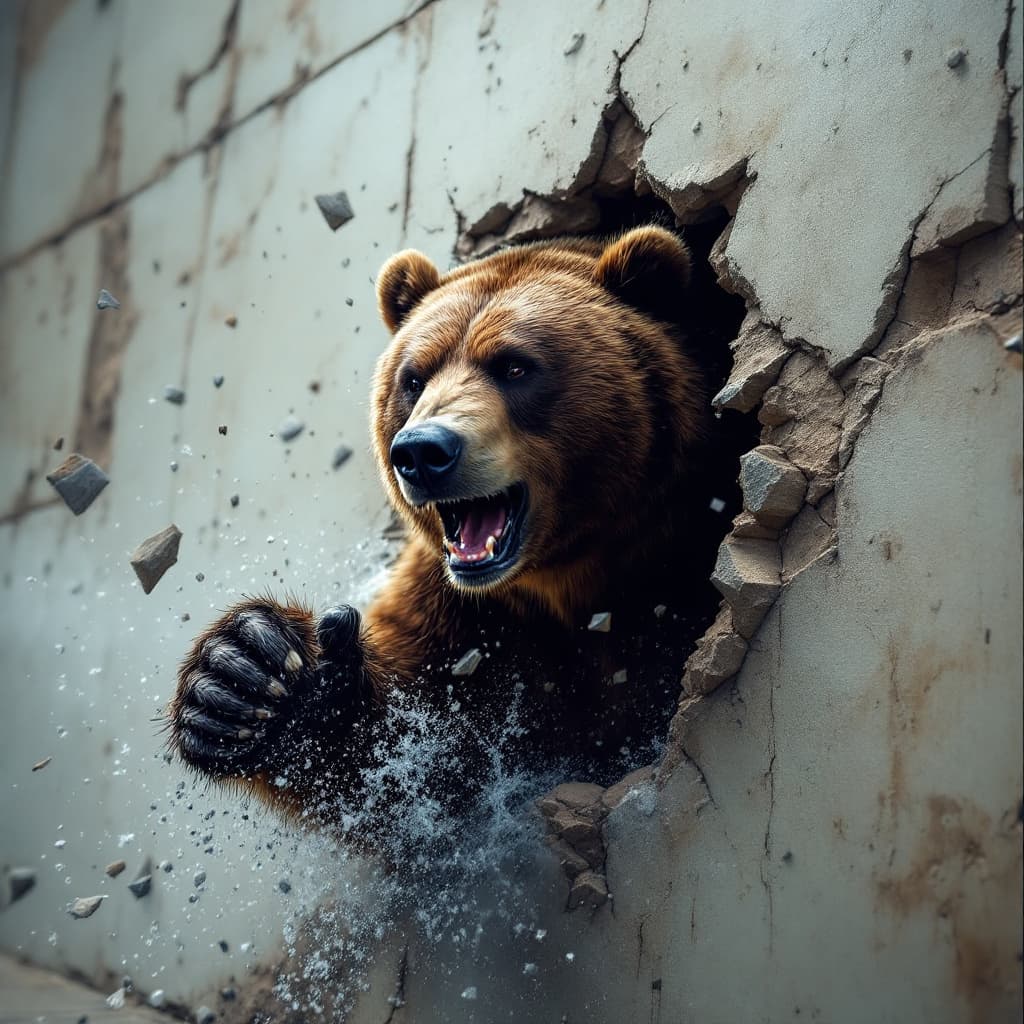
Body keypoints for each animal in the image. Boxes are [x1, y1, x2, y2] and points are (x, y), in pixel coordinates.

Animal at [167, 225, 741, 836]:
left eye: (515, 366)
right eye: (414, 377)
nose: (422, 452)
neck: (568, 580)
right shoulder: (467, 619)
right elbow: (422, 769)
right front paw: (247, 671)